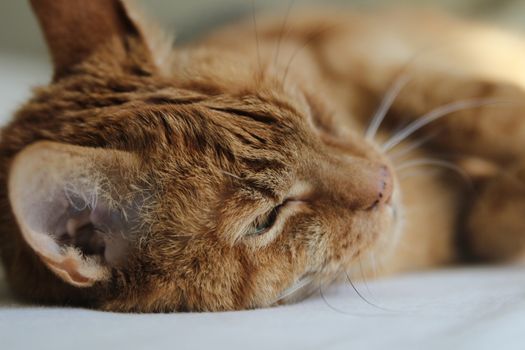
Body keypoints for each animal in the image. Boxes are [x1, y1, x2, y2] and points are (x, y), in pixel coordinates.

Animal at [1, 0, 524, 312]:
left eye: (313, 114)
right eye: (266, 219)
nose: (386, 182)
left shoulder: (356, 52)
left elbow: (472, 105)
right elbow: (485, 220)